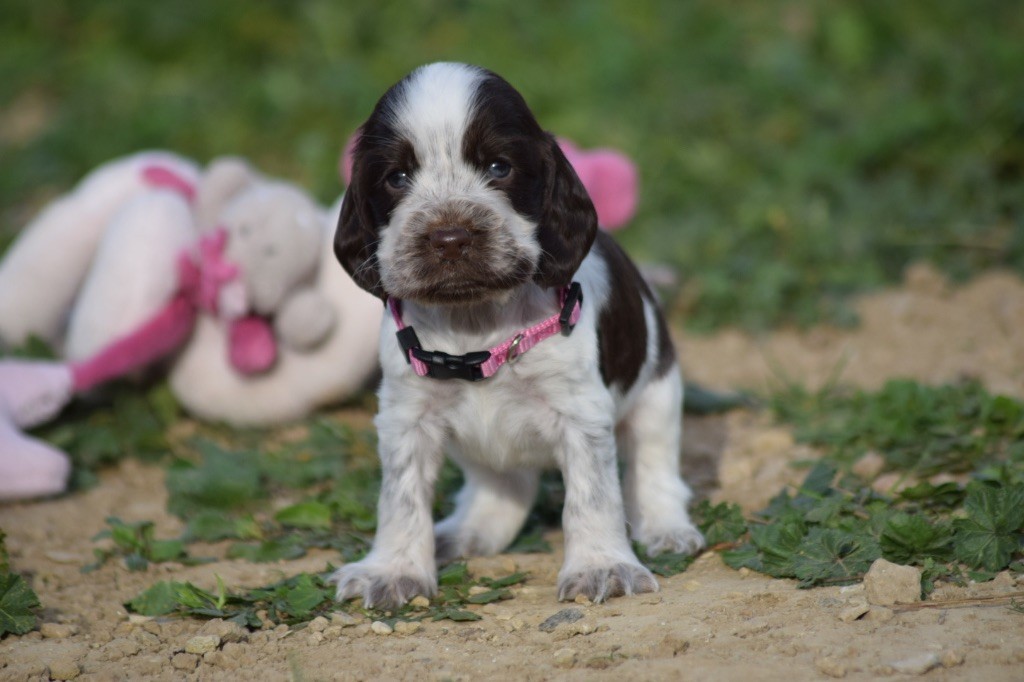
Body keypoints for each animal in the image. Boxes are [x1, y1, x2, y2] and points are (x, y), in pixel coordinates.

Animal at [331, 62, 700, 606]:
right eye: (396, 177)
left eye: (499, 167)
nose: (450, 238)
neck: (477, 326)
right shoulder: (406, 417)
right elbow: (400, 500)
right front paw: (392, 570)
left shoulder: (582, 414)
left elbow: (593, 496)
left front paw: (601, 566)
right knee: (505, 490)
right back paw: (464, 531)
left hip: (659, 393)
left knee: (655, 468)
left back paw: (666, 528)